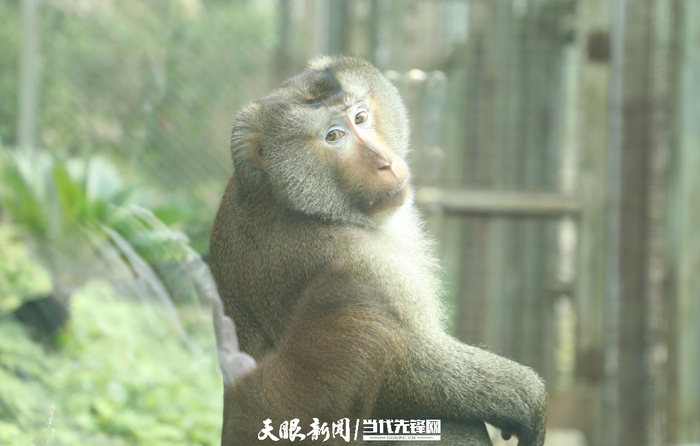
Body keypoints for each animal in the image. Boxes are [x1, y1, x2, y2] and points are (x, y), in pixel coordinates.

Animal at [209, 56, 547, 446]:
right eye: (333, 136)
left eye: (360, 117)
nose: (384, 161)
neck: (300, 203)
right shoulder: (360, 264)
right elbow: (409, 370)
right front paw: (526, 397)